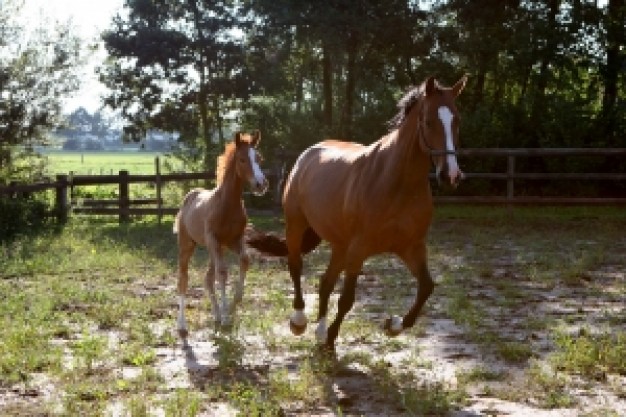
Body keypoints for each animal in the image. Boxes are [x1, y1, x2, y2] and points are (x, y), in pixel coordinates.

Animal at [172, 131, 266, 338]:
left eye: (259, 158)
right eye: (242, 159)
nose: (261, 184)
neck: (226, 204)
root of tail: (190, 197)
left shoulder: (233, 240)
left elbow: (244, 260)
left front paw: (230, 308)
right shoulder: (214, 239)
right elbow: (222, 273)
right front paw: (226, 318)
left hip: (215, 248)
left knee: (207, 279)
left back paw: (215, 315)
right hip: (188, 245)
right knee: (183, 279)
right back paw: (182, 326)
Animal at [246, 76, 466, 350]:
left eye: (457, 120)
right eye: (428, 121)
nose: (450, 175)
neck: (398, 184)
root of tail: (308, 154)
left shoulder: (411, 246)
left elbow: (426, 287)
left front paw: (393, 325)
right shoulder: (359, 249)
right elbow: (347, 299)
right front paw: (331, 340)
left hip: (340, 245)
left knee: (325, 282)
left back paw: (319, 330)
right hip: (296, 225)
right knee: (295, 265)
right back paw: (299, 321)